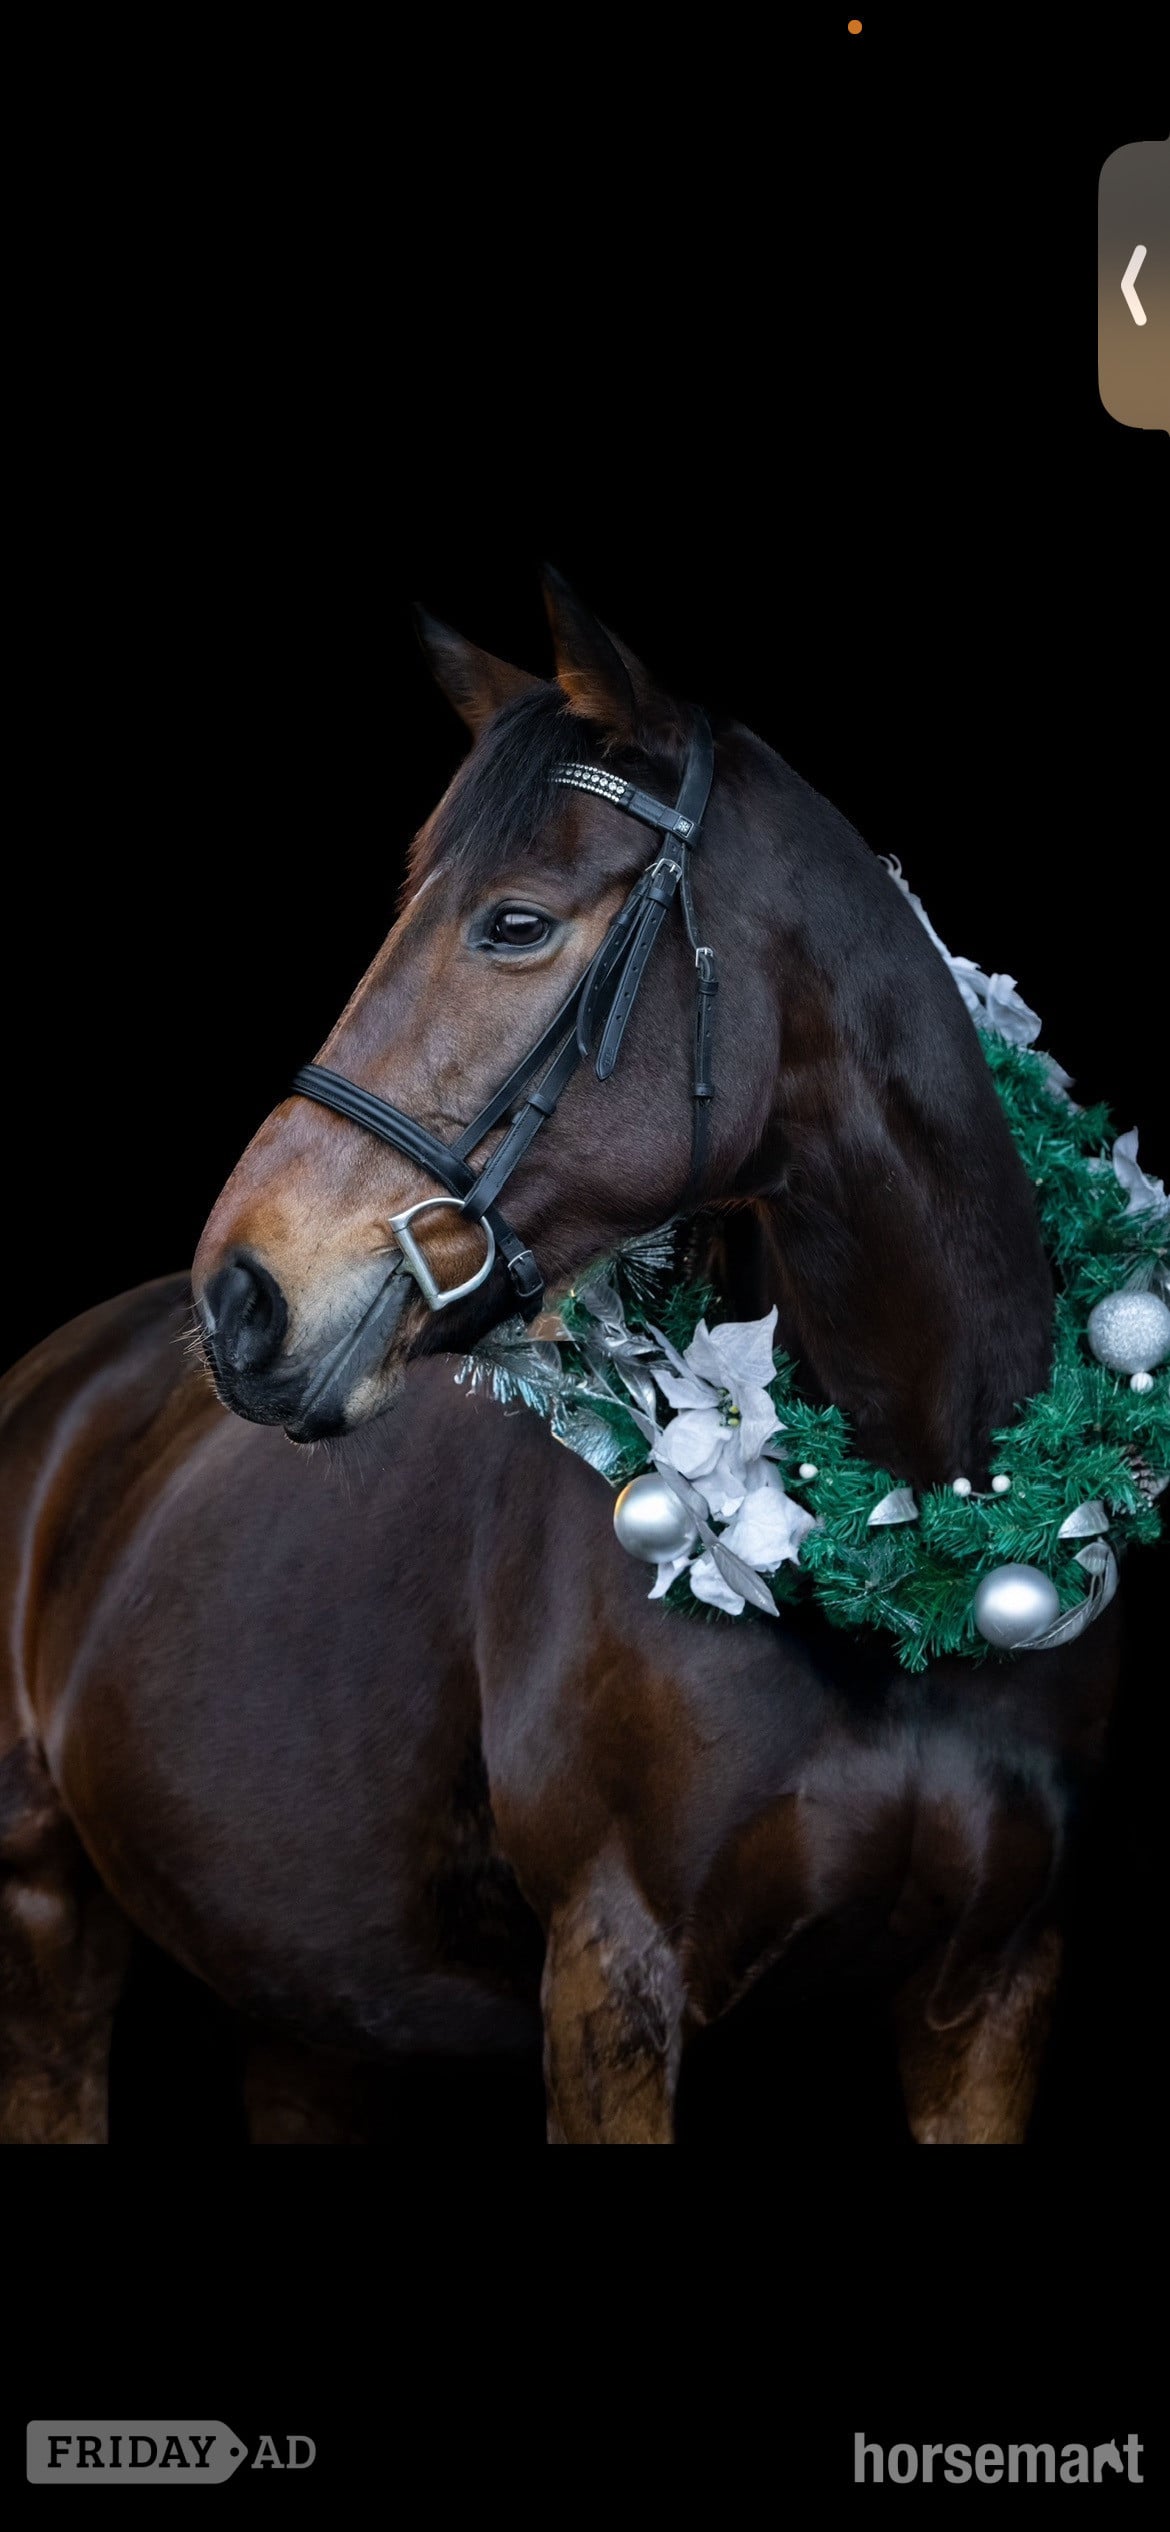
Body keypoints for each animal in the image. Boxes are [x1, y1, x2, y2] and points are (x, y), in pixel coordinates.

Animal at [0, 570, 1117, 2145]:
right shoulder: (613, 1974)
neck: (906, 1561)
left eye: (515, 924)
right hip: (44, 1918)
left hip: (304, 2007)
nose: (243, 1299)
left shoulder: (999, 1991)